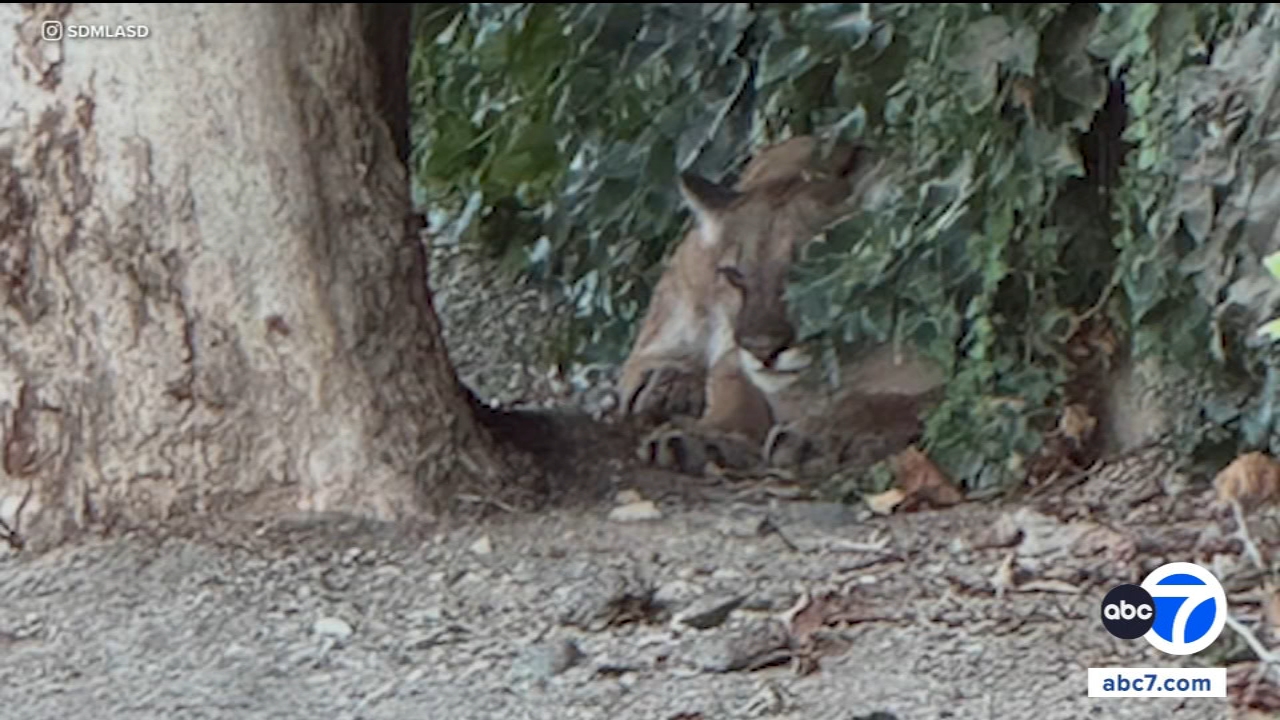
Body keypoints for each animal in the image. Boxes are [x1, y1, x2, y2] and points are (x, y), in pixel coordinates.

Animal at [618, 135, 946, 476]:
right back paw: (667, 386)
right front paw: (708, 435)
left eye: (810, 269)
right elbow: (733, 394)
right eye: (734, 276)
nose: (762, 349)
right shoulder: (733, 357)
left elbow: (888, 403)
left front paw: (817, 438)